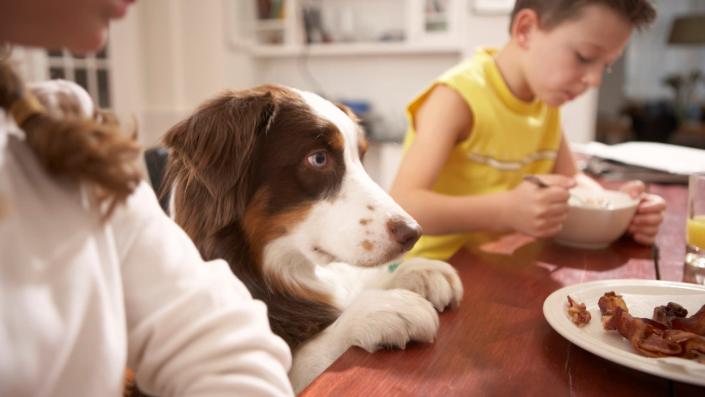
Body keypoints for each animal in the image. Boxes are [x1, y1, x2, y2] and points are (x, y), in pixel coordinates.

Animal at [162, 85, 464, 392]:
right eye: (318, 159)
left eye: (361, 157)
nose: (413, 233)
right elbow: (306, 355)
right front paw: (383, 308)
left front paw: (418, 271)